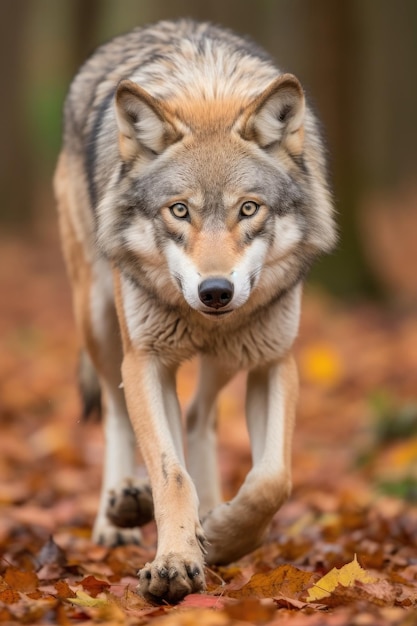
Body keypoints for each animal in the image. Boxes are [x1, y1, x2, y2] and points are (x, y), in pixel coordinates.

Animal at [54, 19, 334, 604]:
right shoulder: (145, 361)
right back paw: (120, 509)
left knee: (198, 417)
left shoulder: (274, 362)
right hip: (100, 322)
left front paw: (223, 535)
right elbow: (170, 472)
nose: (215, 292)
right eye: (179, 210)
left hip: (228, 358)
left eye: (248, 208)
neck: (206, 88)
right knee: (118, 415)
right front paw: (175, 563)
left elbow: (273, 479)